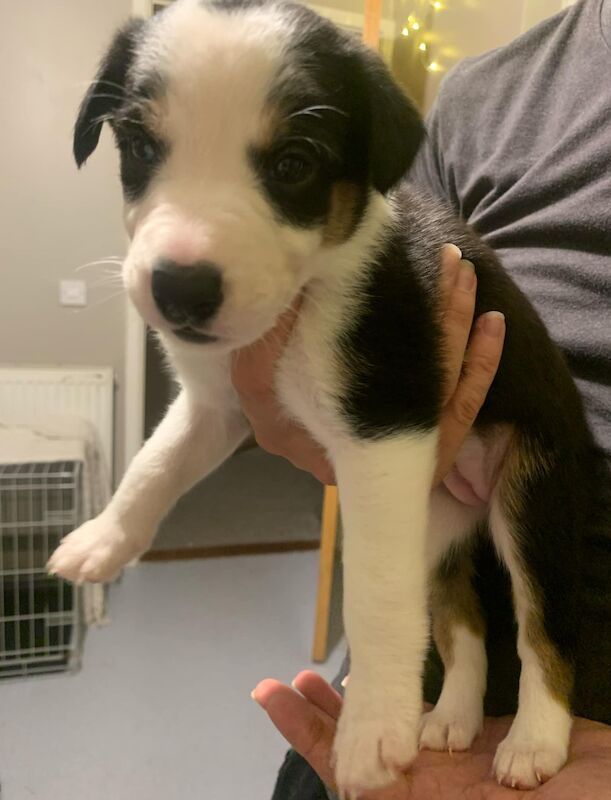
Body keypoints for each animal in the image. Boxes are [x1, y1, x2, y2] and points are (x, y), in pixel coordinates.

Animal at [47, 1, 611, 792]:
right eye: (139, 146)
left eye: (293, 165)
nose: (180, 290)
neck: (308, 289)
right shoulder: (219, 403)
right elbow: (154, 463)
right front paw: (101, 540)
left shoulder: (385, 430)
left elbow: (374, 595)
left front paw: (372, 732)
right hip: (434, 521)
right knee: (462, 623)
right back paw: (452, 718)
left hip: (531, 496)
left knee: (541, 631)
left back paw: (532, 741)